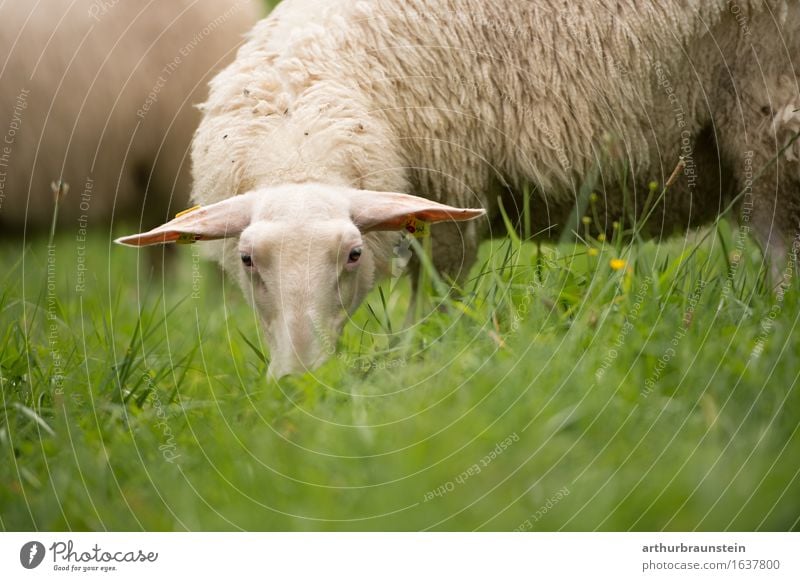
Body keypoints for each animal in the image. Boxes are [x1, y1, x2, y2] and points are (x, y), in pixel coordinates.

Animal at [117, 0, 800, 378]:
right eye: (247, 260)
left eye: (354, 254)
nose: (300, 383)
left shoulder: (449, 200)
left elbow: (434, 305)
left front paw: (423, 365)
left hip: (769, 105)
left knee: (779, 241)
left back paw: (773, 334)